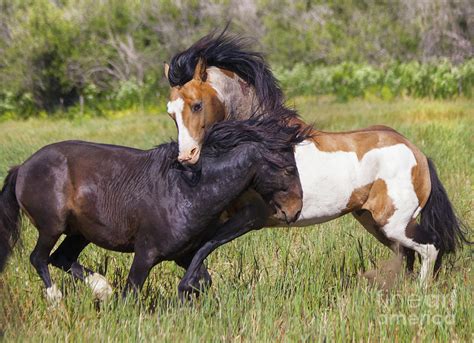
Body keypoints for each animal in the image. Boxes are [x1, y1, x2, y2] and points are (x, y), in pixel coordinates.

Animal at [0, 119, 306, 304]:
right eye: (287, 169)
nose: (294, 211)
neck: (188, 190)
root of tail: (22, 167)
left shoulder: (183, 254)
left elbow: (203, 280)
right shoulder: (146, 253)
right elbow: (132, 293)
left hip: (80, 233)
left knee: (61, 258)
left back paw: (102, 289)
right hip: (52, 226)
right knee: (39, 258)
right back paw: (56, 299)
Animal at [165, 30, 468, 286]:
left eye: (197, 105)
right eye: (171, 112)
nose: (186, 156)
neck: (267, 142)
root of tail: (418, 153)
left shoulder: (252, 216)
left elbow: (204, 246)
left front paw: (189, 288)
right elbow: (194, 249)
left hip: (395, 223)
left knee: (429, 249)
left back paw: (420, 292)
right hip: (373, 222)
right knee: (407, 256)